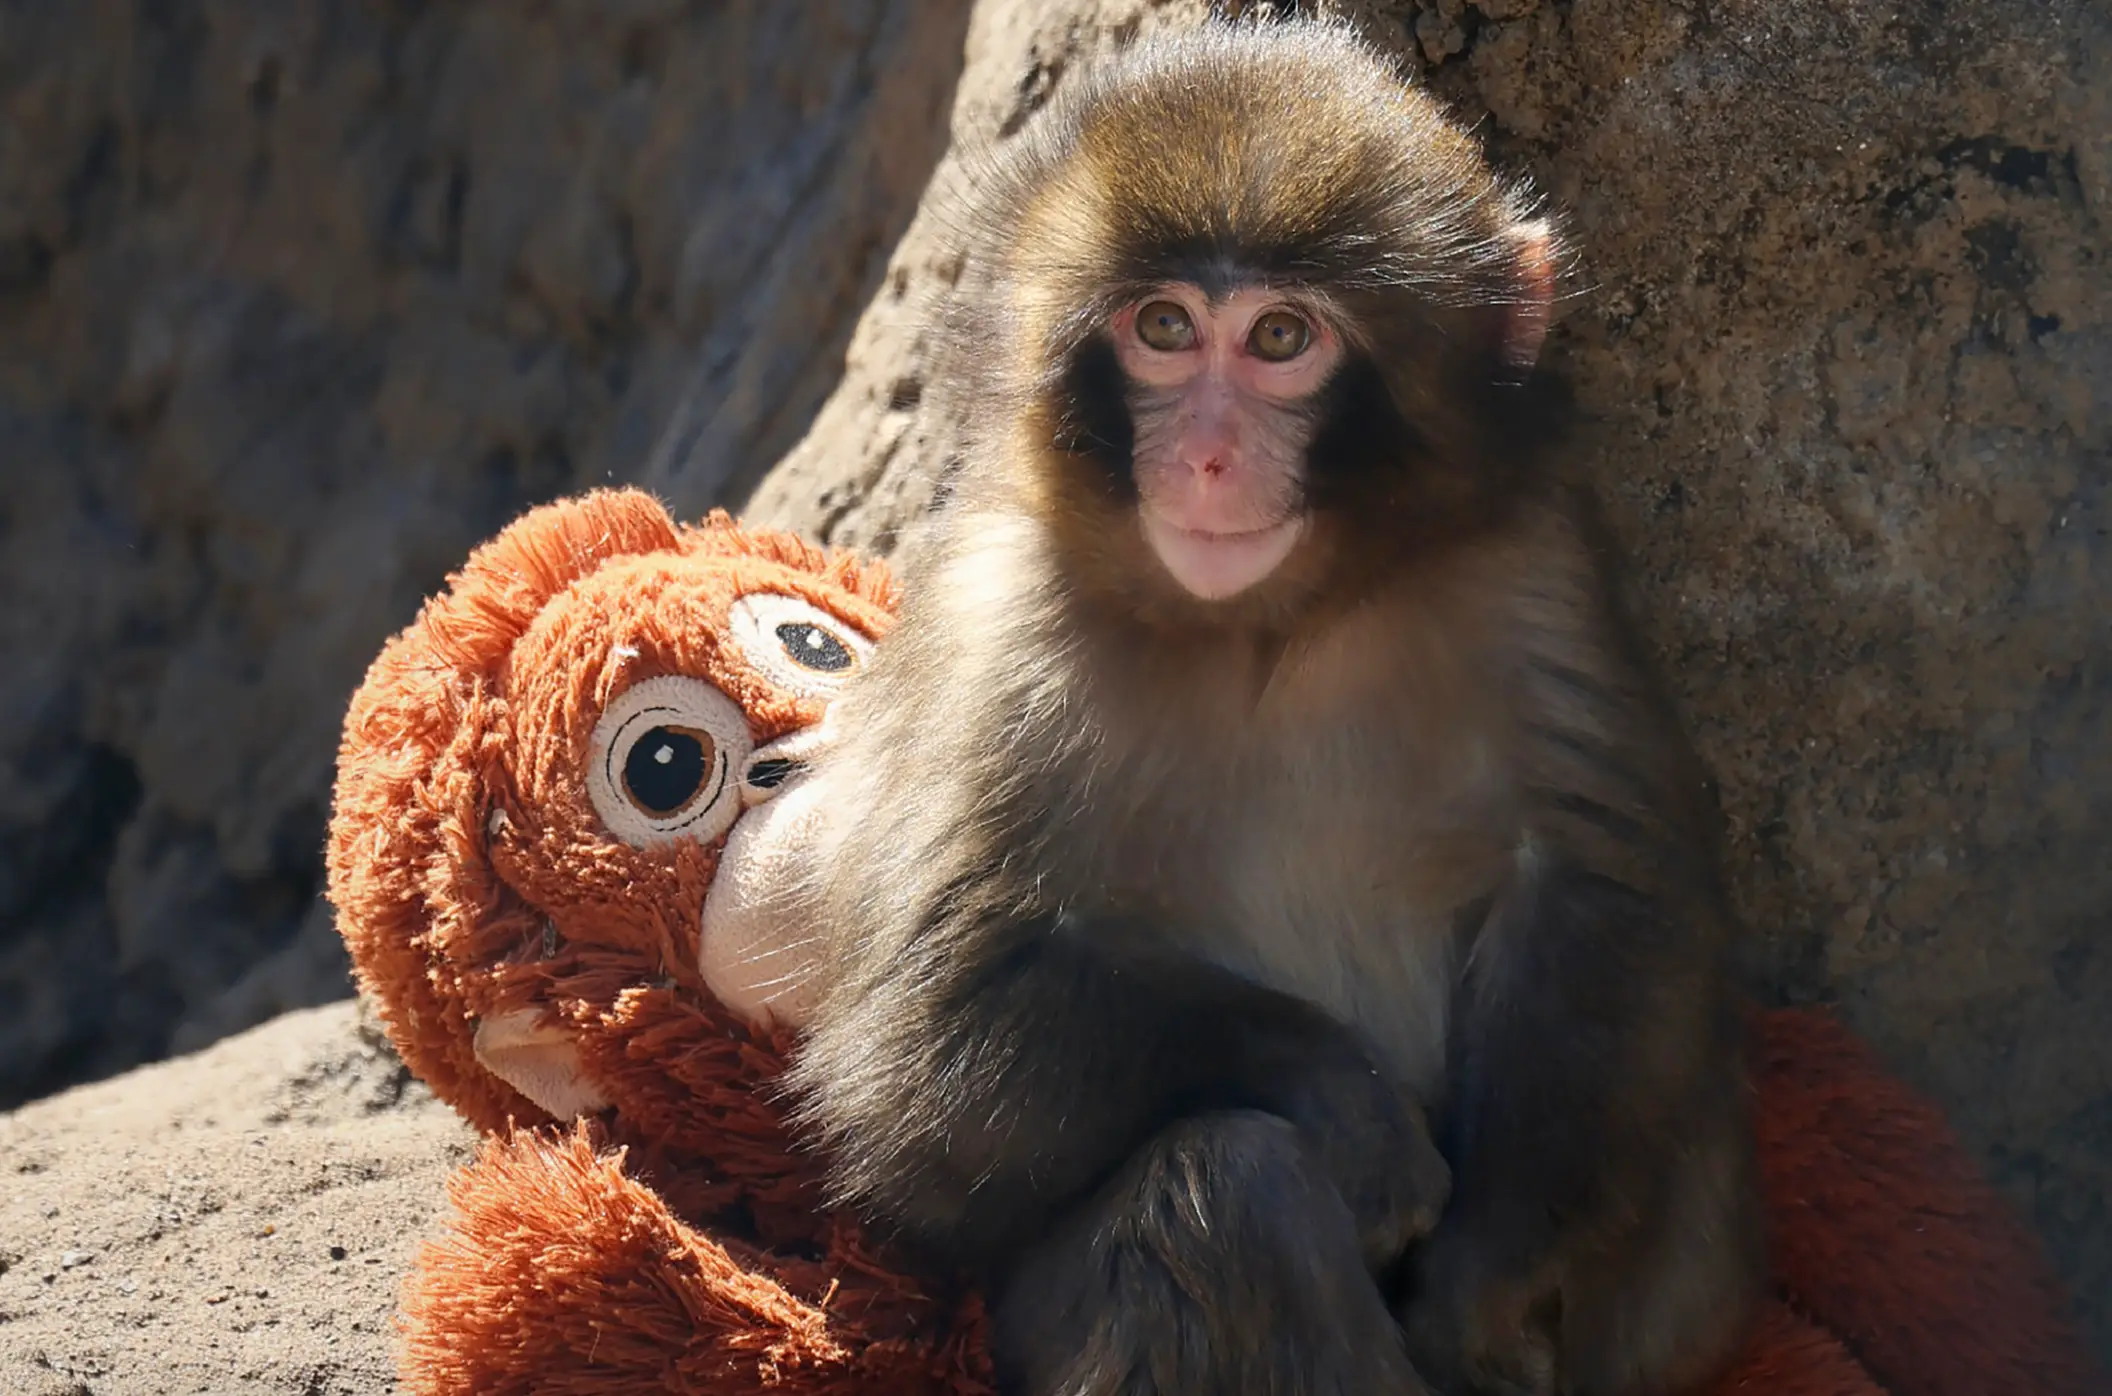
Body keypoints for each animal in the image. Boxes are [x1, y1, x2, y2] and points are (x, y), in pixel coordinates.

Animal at [781, 19, 1766, 1396]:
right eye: (1162, 325)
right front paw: (1344, 1099)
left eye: (1282, 340)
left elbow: (1598, 887)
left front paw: (1485, 1280)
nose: (1203, 456)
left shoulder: (1531, 561)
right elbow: (927, 1036)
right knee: (1226, 1189)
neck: (1270, 625)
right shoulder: (999, 625)